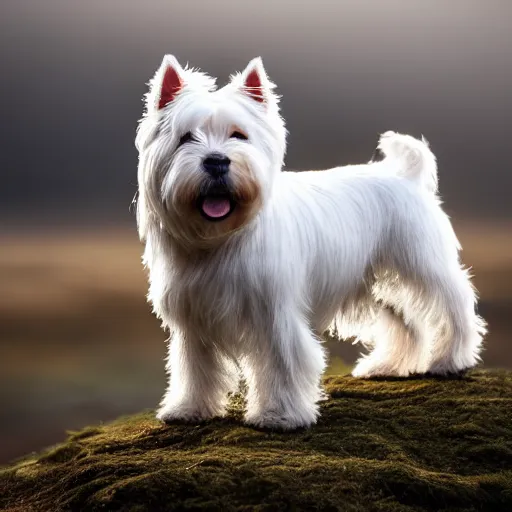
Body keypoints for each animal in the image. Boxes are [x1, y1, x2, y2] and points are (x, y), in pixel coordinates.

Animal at [135, 56, 484, 430]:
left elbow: (282, 362)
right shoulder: (194, 320)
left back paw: (451, 359)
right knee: (407, 322)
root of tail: (404, 175)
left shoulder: (274, 313)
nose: (216, 161)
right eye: (186, 138)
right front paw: (190, 408)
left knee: (453, 304)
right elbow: (195, 368)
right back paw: (387, 366)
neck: (219, 239)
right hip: (379, 281)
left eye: (239, 135)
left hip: (419, 264)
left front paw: (279, 415)